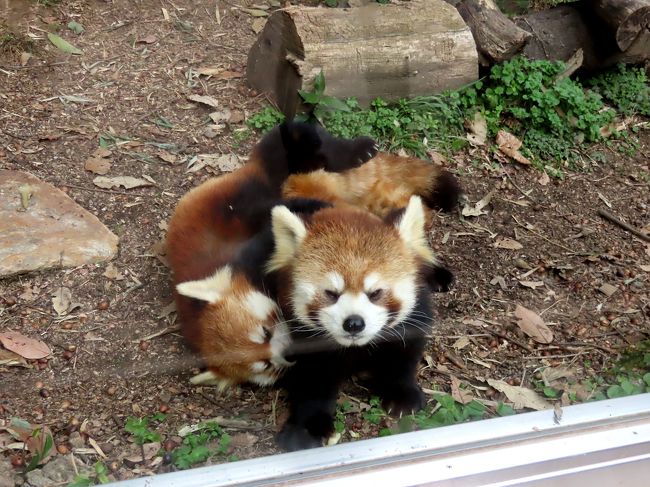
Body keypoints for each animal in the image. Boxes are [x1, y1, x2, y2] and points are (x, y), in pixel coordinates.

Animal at [166, 122, 374, 388]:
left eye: (265, 332)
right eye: (267, 365)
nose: (289, 355)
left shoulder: (243, 256)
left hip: (243, 196)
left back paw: (358, 152)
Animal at [266, 195, 454, 454]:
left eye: (375, 293)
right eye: (331, 294)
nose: (354, 323)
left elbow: (403, 354)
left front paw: (401, 393)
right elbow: (312, 379)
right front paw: (306, 428)